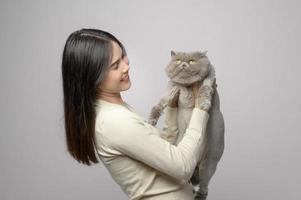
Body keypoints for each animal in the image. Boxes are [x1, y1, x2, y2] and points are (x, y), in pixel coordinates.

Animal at [146, 50, 224, 200]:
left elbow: (204, 89)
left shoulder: (209, 79)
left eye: (192, 61)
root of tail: (197, 162)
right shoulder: (171, 89)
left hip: (209, 162)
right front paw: (151, 120)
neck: (188, 85)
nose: (183, 64)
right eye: (177, 60)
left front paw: (203, 103)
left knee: (204, 186)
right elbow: (161, 103)